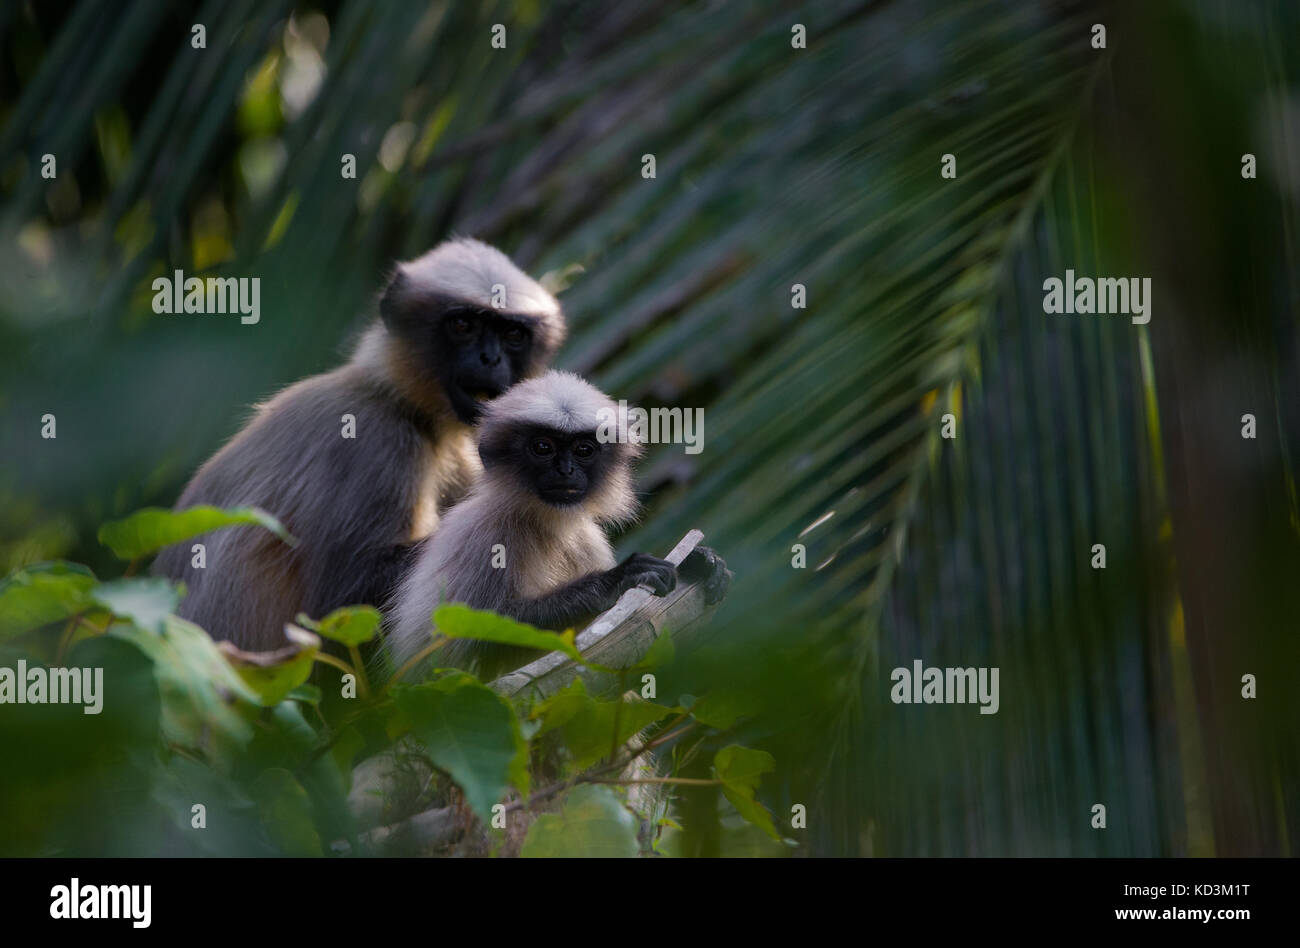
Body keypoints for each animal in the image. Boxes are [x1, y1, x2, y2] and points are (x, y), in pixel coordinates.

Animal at [152, 237, 564, 650]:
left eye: (513, 336)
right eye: (463, 325)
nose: (490, 358)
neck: (397, 401)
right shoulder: (375, 440)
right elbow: (341, 603)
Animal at [384, 369, 733, 681]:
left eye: (583, 450)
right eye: (543, 447)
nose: (565, 470)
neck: (542, 524)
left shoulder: (586, 537)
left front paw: (694, 560)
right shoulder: (483, 534)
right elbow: (460, 650)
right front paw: (616, 580)